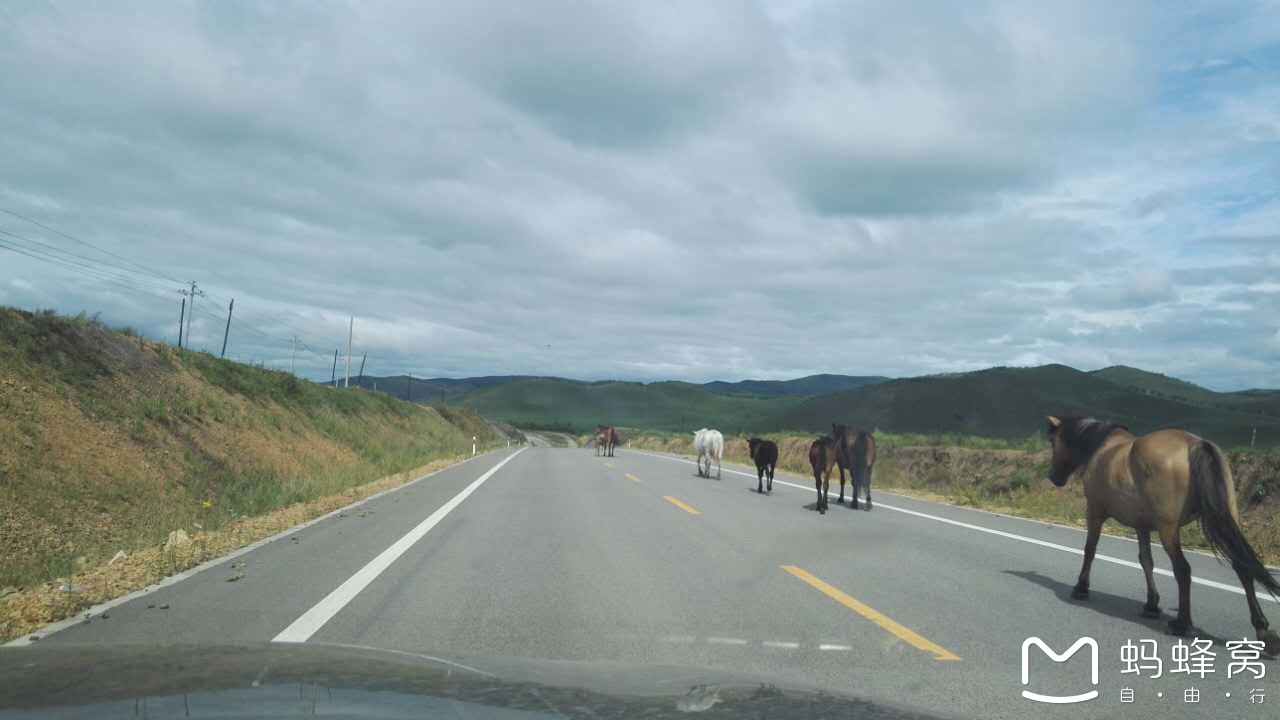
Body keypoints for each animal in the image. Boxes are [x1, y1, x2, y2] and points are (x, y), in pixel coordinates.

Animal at [1044, 412, 1274, 653]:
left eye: (1052, 441)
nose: (1053, 477)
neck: (1102, 448)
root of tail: (1195, 444)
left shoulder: (1094, 512)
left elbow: (1090, 549)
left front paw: (1081, 588)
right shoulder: (1142, 526)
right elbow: (1146, 561)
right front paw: (1151, 604)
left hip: (1168, 530)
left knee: (1183, 570)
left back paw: (1182, 623)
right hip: (1224, 519)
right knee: (1242, 567)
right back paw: (1262, 628)